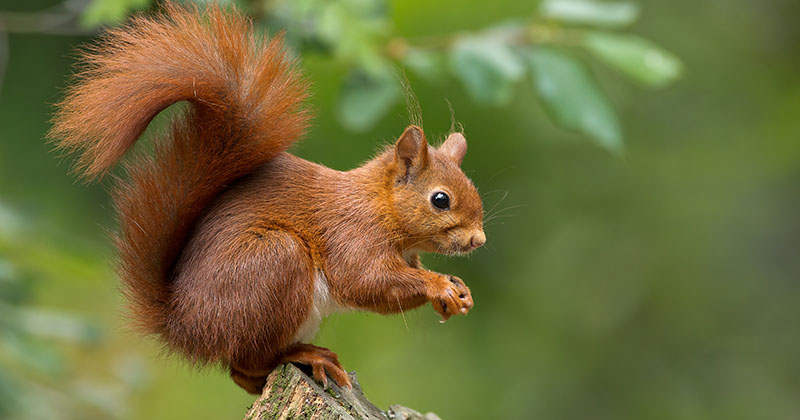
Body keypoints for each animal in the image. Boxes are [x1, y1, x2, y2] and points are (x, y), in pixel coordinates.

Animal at [49, 3, 485, 394]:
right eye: (440, 199)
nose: (478, 240)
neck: (380, 206)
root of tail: (184, 326)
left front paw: (457, 291)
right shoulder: (352, 234)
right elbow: (366, 281)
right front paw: (438, 286)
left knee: (241, 376)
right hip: (274, 263)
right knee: (247, 362)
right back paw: (305, 355)